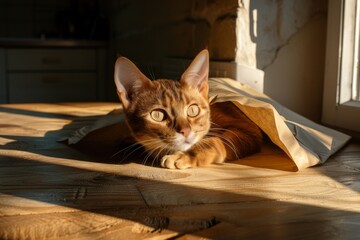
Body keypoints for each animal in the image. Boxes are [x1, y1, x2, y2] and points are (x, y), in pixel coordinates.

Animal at [114, 48, 262, 169]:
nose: (186, 131)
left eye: (193, 110)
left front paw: (184, 155)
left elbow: (214, 141)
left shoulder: (248, 131)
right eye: (157, 115)